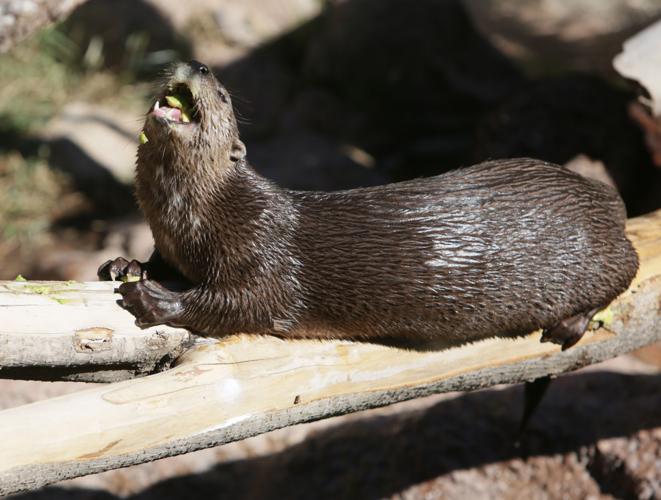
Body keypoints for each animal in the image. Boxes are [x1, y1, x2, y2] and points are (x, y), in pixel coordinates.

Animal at [99, 60, 639, 351]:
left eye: (225, 96)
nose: (200, 66)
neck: (197, 217)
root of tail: (599, 193)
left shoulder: (263, 245)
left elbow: (249, 301)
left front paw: (158, 300)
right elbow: (165, 262)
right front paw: (130, 264)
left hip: (596, 252)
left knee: (626, 270)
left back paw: (569, 323)